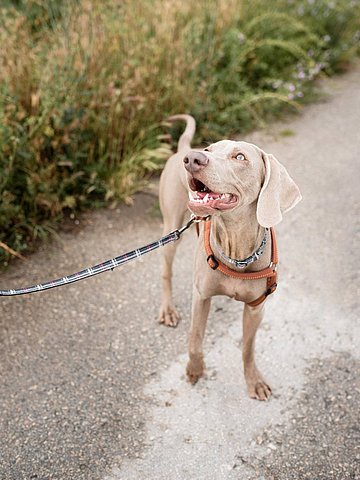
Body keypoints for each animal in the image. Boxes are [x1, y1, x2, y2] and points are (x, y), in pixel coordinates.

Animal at [158, 114, 300, 400]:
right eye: (209, 149)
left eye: (240, 157)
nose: (193, 159)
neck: (237, 250)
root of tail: (182, 146)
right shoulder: (201, 296)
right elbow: (195, 340)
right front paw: (195, 370)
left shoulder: (257, 307)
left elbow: (248, 348)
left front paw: (254, 380)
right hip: (171, 228)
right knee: (166, 270)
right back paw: (168, 310)